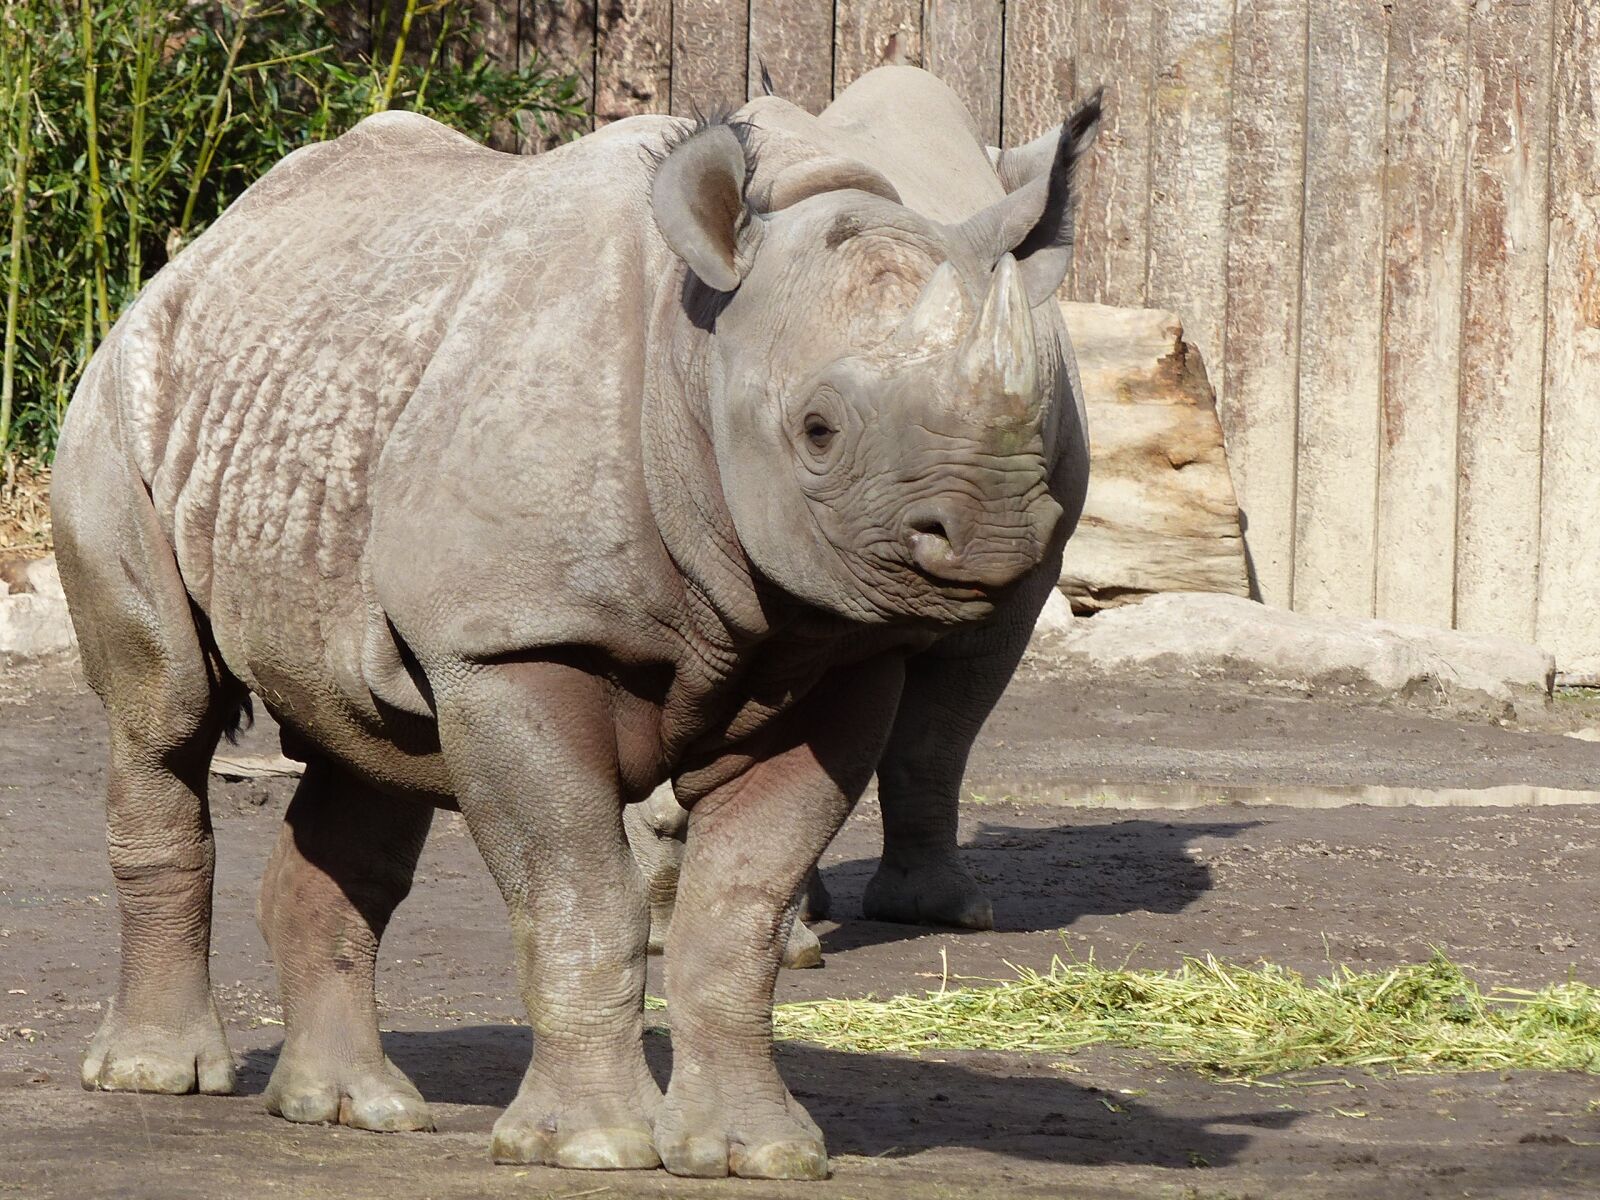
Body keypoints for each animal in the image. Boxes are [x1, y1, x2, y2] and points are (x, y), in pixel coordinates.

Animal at [52, 66, 1100, 1180]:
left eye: (1039, 414)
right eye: (817, 431)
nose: (995, 533)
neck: (699, 355)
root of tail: (201, 250)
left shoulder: (837, 661)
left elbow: (740, 914)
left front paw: (754, 1153)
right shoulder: (512, 641)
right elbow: (579, 897)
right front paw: (591, 1147)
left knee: (370, 743)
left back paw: (355, 1109)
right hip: (121, 400)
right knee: (166, 709)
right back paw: (157, 1076)